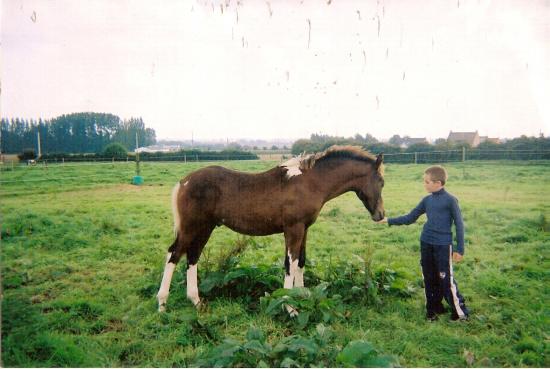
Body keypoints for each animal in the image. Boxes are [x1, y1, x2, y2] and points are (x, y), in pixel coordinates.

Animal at [157, 145, 386, 312]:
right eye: (382, 182)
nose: (381, 215)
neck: (310, 182)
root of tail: (183, 182)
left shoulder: (304, 229)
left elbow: (301, 262)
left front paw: (301, 296)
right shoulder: (293, 229)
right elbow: (290, 264)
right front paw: (289, 306)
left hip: (205, 227)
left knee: (192, 256)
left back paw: (196, 301)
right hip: (192, 227)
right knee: (174, 255)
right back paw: (162, 303)